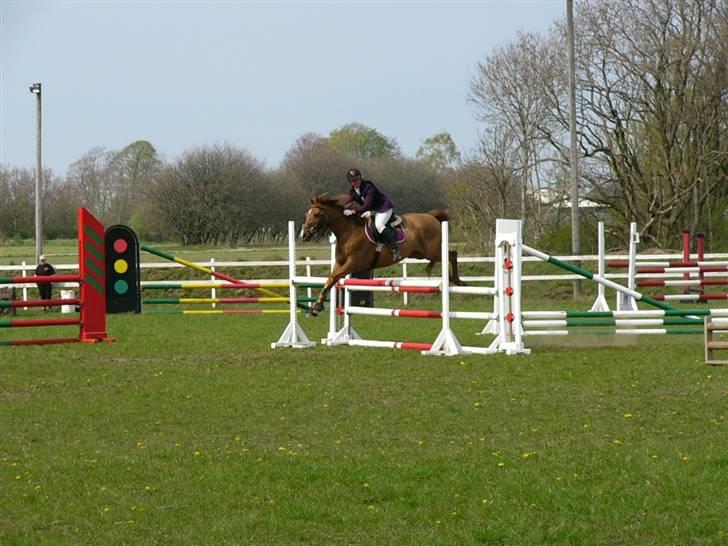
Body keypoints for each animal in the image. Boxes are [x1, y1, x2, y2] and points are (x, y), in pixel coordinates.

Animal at [298, 194, 464, 314]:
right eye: (306, 214)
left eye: (317, 214)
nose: (304, 235)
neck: (348, 231)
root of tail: (431, 216)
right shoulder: (340, 263)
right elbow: (330, 280)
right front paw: (316, 306)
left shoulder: (353, 263)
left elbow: (333, 278)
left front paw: (316, 306)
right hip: (419, 254)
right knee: (448, 256)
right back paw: (452, 279)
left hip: (433, 252)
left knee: (452, 254)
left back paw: (458, 281)